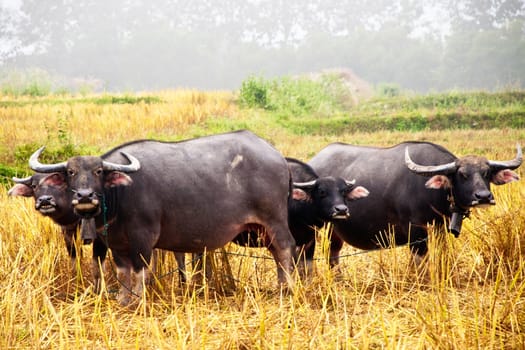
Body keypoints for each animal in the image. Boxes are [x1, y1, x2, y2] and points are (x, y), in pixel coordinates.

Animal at [29, 131, 294, 304]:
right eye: (70, 172)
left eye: (99, 171)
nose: (85, 196)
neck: (121, 194)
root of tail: (277, 157)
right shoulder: (117, 243)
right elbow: (122, 272)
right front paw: (124, 300)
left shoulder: (143, 238)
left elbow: (140, 271)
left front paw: (139, 300)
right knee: (276, 252)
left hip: (275, 221)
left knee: (284, 249)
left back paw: (287, 289)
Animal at [310, 141, 520, 264]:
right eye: (462, 174)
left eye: (486, 173)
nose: (483, 196)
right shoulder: (415, 230)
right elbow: (419, 261)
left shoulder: (440, 228)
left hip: (334, 231)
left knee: (333, 254)